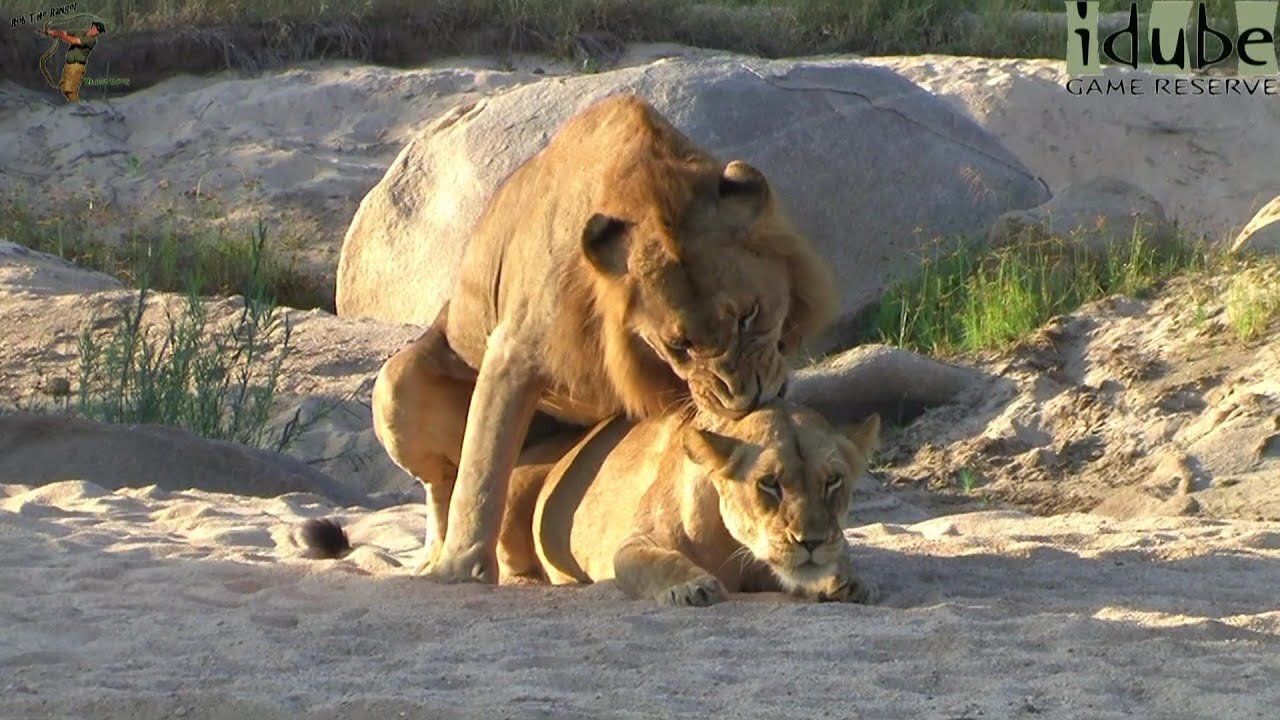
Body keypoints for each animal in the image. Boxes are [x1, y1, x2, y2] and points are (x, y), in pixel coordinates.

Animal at [373, 92, 839, 584]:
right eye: (680, 347)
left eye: (748, 315)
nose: (742, 399)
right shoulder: (512, 353)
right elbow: (480, 471)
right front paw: (460, 570)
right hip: (395, 381)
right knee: (442, 485)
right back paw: (433, 555)